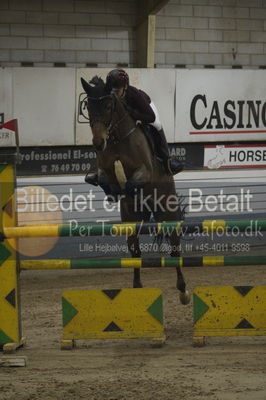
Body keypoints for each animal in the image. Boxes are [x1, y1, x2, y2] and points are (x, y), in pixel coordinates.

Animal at [80, 75, 190, 304]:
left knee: (175, 250)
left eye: (108, 106)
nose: (98, 143)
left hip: (168, 213)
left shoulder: (144, 172)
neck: (117, 138)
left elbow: (132, 183)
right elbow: (103, 178)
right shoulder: (103, 168)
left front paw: (125, 189)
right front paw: (113, 191)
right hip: (130, 221)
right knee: (136, 253)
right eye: (88, 107)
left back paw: (184, 292)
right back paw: (137, 288)